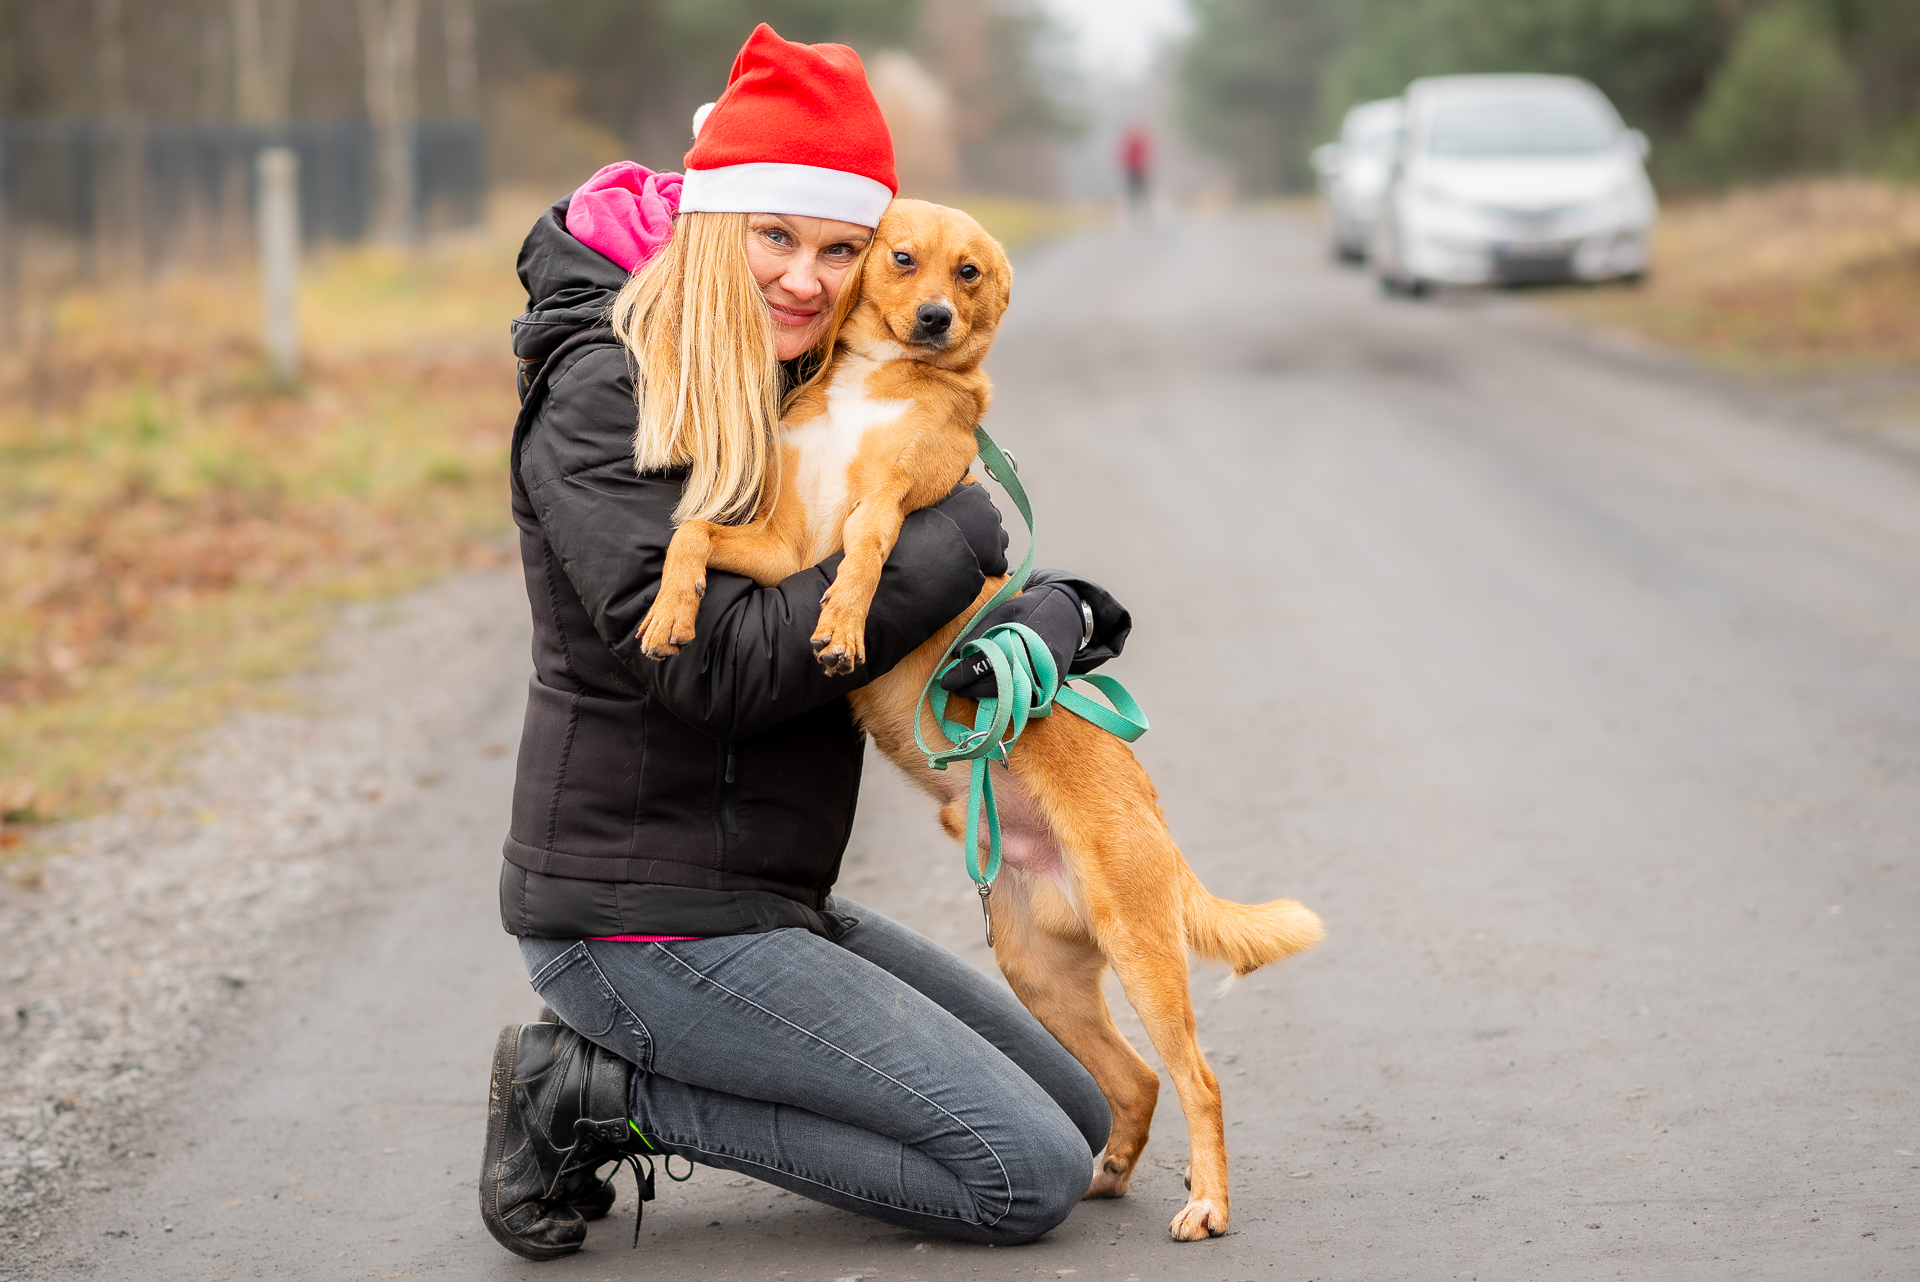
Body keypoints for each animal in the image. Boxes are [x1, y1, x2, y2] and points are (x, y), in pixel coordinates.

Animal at [641, 202, 1320, 1243]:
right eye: (899, 257)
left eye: (968, 274)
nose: (933, 320)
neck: (877, 387)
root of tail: (1152, 812)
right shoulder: (780, 546)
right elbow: (692, 531)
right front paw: (670, 613)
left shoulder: (888, 509)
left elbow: (869, 544)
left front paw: (844, 625)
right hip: (1037, 972)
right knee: (1132, 1081)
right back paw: (1106, 1176)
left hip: (1142, 953)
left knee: (1196, 1079)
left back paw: (1206, 1202)